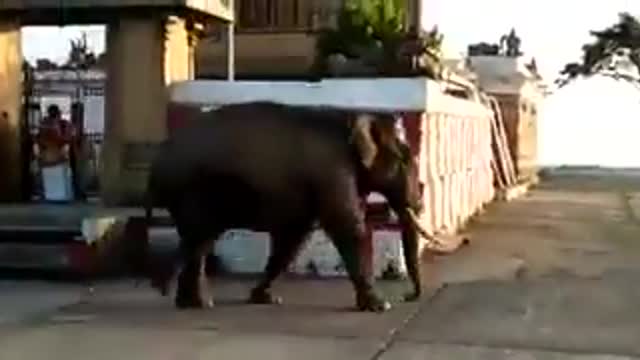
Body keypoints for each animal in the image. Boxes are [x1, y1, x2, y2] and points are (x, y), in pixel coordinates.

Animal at [144, 101, 432, 312]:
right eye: (405, 158)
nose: (407, 296)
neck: (354, 115)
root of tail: (158, 158)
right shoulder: (332, 172)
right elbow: (348, 228)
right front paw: (380, 306)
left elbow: (295, 237)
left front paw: (265, 299)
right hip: (193, 190)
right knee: (199, 237)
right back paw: (180, 295)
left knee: (200, 241)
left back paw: (190, 302)